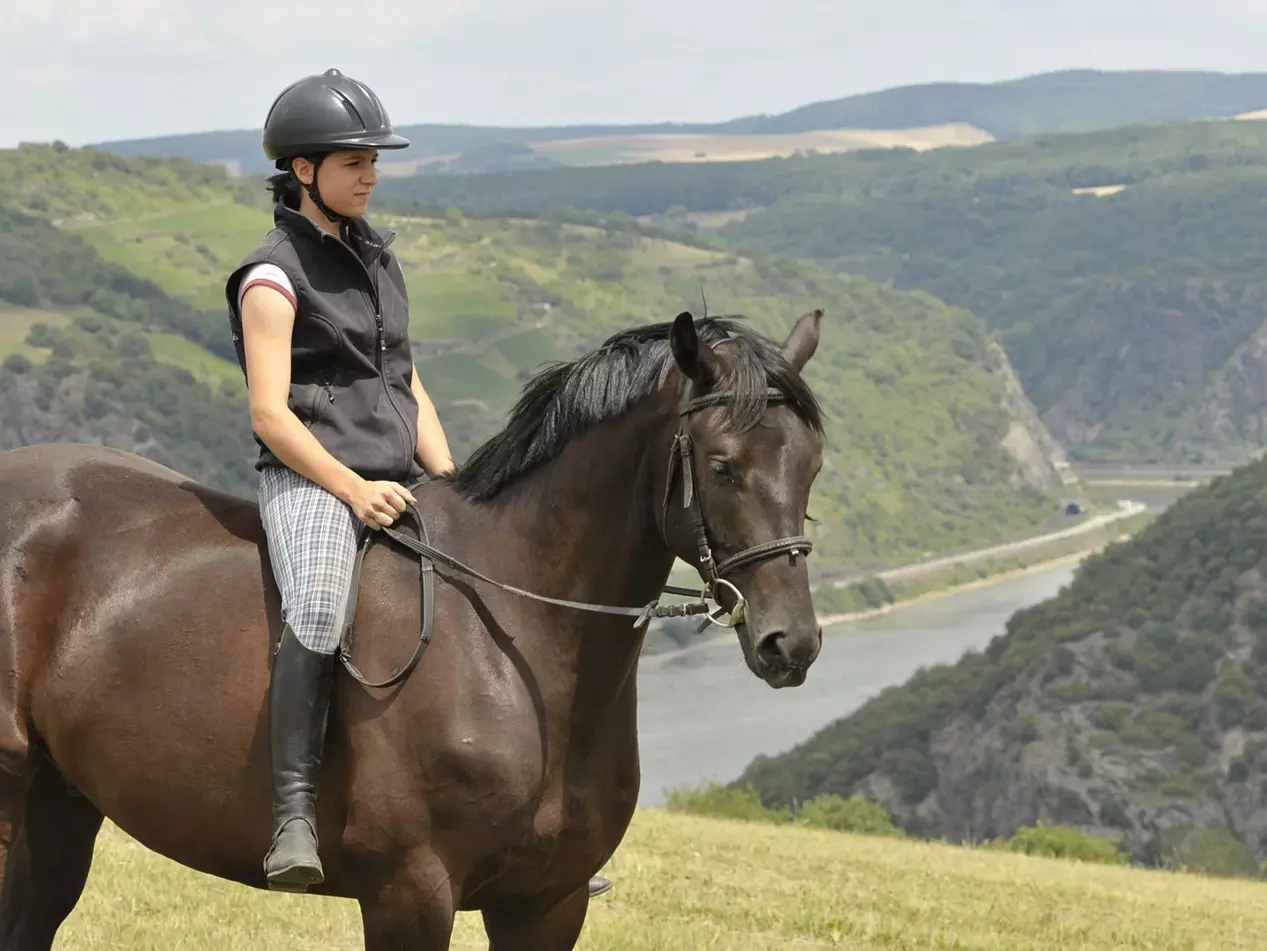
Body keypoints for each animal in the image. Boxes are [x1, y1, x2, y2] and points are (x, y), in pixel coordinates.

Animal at [0, 308, 826, 947]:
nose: (791, 643)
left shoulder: (547, 903)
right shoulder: (412, 890)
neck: (520, 644)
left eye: (811, 466)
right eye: (721, 465)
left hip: (60, 802)